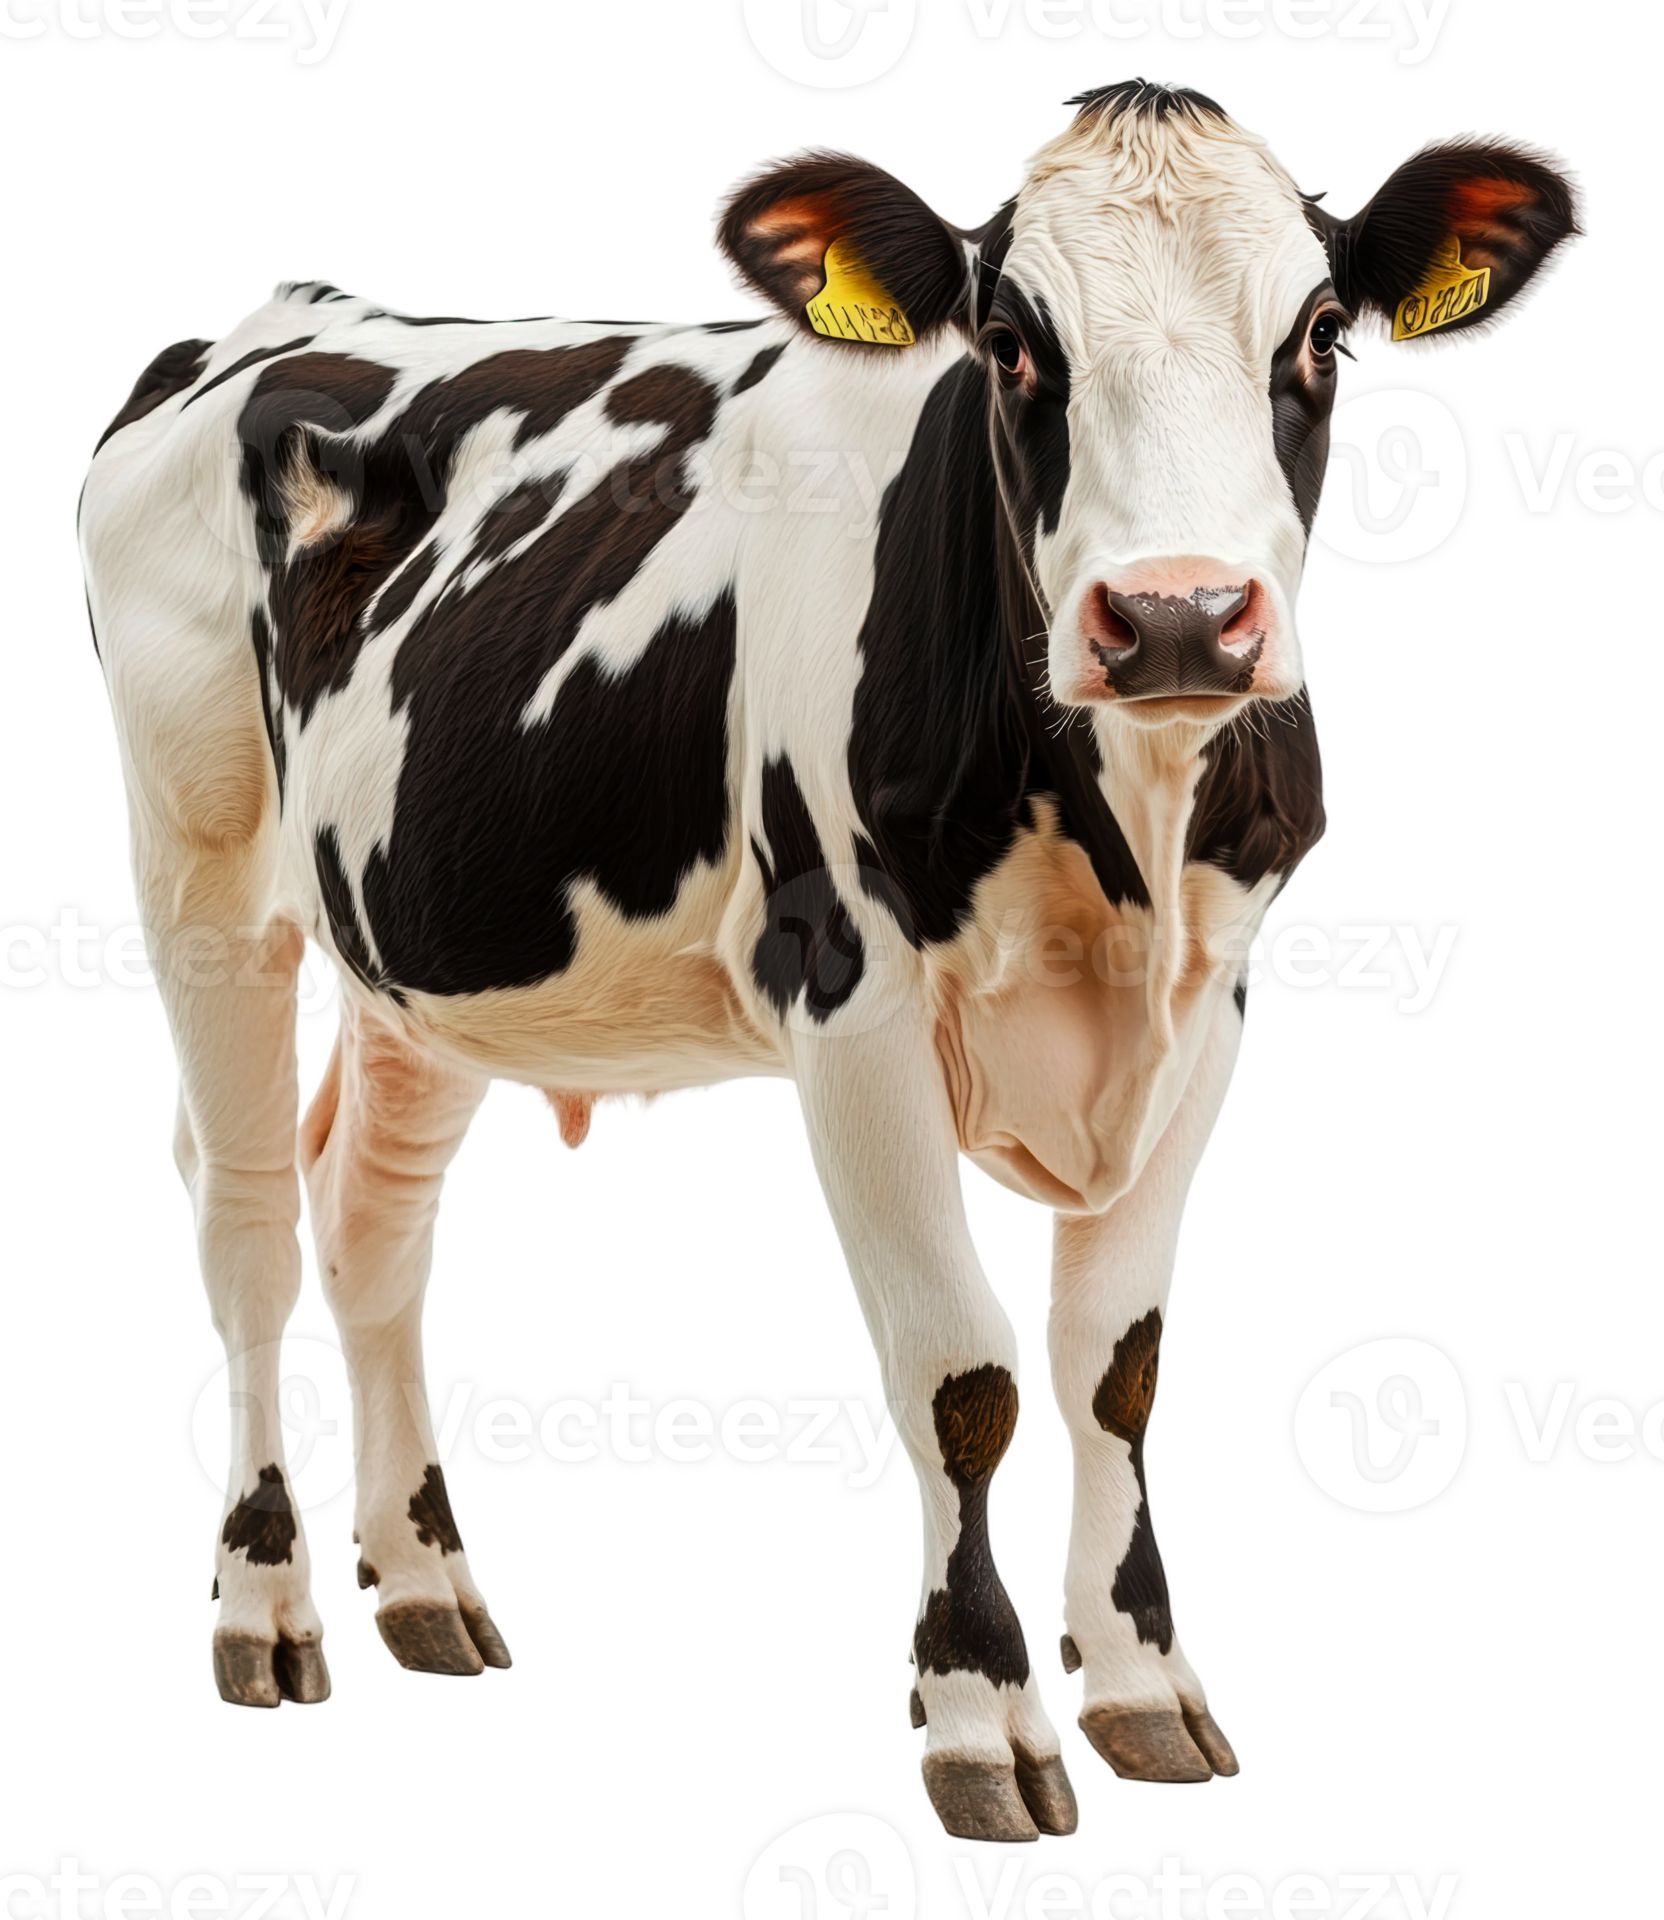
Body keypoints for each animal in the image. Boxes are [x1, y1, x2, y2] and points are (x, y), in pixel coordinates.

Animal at [76, 76, 1583, 1842]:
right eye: (1007, 341)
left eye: (1326, 334)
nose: (1178, 618)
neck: (1119, 845)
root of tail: (284, 315)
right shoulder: (848, 992)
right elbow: (966, 1373)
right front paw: (985, 1718)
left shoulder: (1211, 1007)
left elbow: (1117, 1368)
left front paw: (1143, 1689)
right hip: (202, 858)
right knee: (247, 1217)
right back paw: (268, 1613)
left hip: (423, 940)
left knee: (372, 1218)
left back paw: (427, 1587)